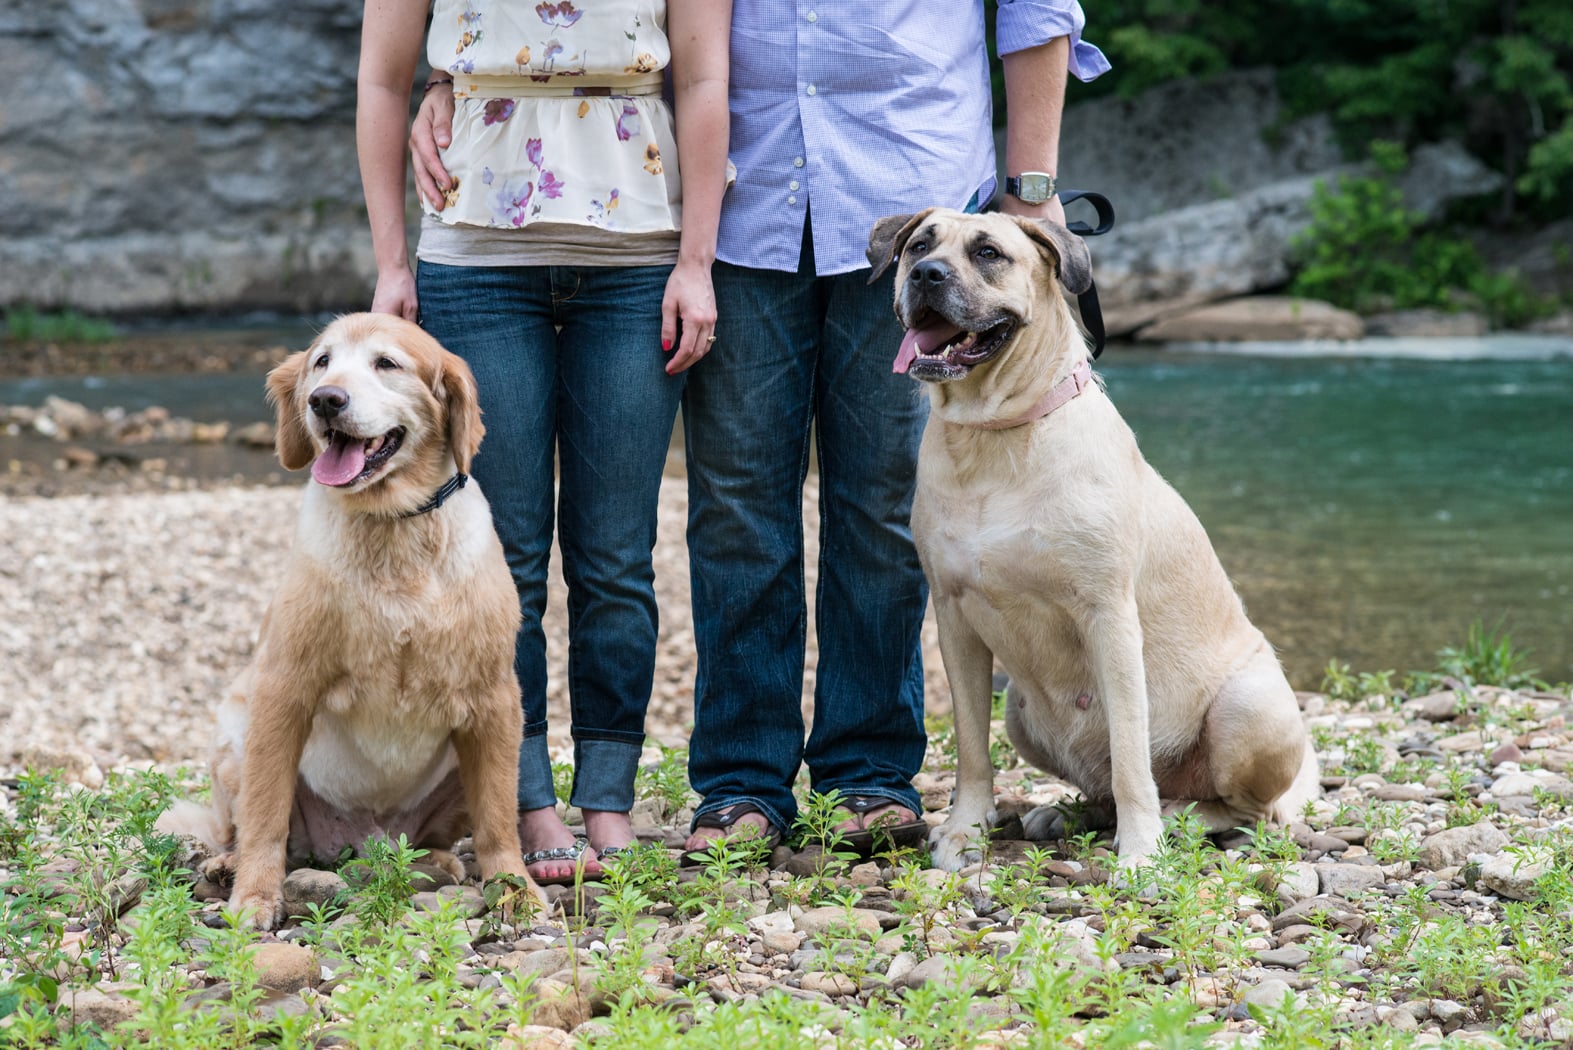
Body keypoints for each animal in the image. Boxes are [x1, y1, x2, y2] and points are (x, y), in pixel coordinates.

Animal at [158, 311, 541, 924]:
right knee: (250, 829)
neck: (393, 526)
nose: (325, 400)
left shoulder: (494, 698)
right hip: (237, 738)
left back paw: (438, 863)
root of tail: (367, 840)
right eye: (322, 362)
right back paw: (227, 866)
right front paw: (255, 896)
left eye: (386, 363)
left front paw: (514, 890)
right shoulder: (284, 688)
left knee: (442, 836)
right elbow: (265, 815)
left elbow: (498, 820)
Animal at [868, 209, 1321, 873]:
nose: (926, 273)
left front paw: (1141, 851)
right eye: (919, 246)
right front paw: (965, 830)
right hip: (1021, 713)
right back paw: (1064, 813)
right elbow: (972, 748)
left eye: (988, 253)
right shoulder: (953, 617)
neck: (993, 436)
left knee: (1244, 809)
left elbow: (1131, 753)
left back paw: (1182, 818)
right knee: (1098, 784)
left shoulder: (1109, 617)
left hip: (1248, 709)